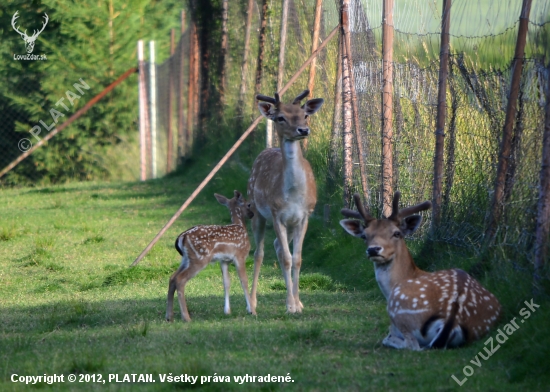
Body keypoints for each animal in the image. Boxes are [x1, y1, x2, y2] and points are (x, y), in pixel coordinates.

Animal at [166, 190, 256, 322]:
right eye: (248, 204)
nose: (252, 214)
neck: (240, 226)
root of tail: (181, 238)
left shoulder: (224, 260)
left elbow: (226, 282)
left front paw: (227, 311)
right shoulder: (240, 255)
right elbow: (244, 280)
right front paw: (252, 311)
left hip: (186, 258)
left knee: (172, 278)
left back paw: (169, 316)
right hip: (200, 258)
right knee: (180, 279)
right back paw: (186, 317)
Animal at [249, 90, 324, 314]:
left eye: (305, 115)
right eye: (281, 117)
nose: (303, 130)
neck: (293, 195)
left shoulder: (304, 216)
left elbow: (297, 259)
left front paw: (297, 303)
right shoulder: (276, 215)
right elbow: (286, 258)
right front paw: (291, 305)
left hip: (290, 224)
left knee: (277, 246)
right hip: (255, 209)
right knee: (259, 253)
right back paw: (252, 304)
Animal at [340, 193, 504, 350]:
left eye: (397, 233)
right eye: (364, 235)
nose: (373, 249)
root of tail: (454, 317)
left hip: (397, 306)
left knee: (411, 345)